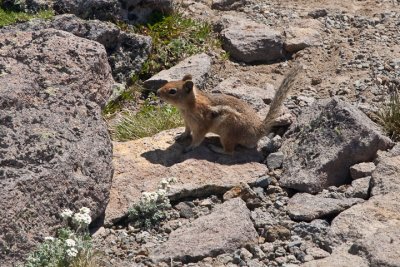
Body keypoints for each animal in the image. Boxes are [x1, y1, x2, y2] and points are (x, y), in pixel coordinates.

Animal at [156, 65, 300, 155]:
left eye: (172, 91)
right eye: (167, 83)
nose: (157, 92)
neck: (189, 106)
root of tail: (260, 130)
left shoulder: (201, 126)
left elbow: (197, 140)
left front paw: (189, 147)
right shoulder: (187, 122)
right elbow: (186, 131)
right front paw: (179, 136)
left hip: (227, 134)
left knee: (230, 152)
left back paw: (216, 148)